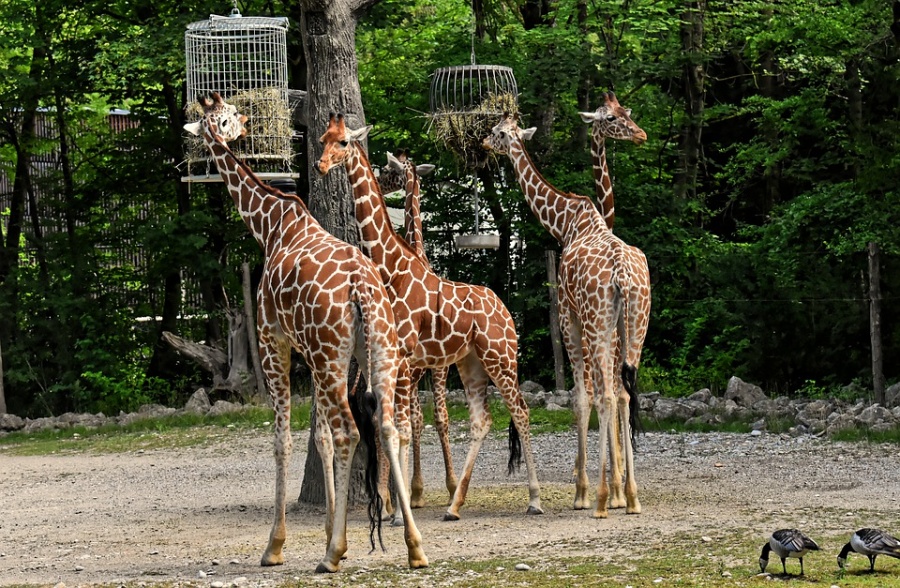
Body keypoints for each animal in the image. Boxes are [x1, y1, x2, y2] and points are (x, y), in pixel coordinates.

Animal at [181, 94, 428, 572]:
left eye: (222, 117)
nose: (244, 124)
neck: (270, 225)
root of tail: (363, 288)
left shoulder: (274, 340)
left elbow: (284, 439)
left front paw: (277, 546)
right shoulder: (311, 353)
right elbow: (321, 437)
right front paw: (331, 530)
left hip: (334, 355)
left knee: (353, 430)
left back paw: (333, 555)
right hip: (375, 351)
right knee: (387, 426)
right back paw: (415, 546)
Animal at [316, 113, 540, 520]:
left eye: (343, 142)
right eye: (323, 138)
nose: (320, 165)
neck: (392, 268)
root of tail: (505, 309)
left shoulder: (408, 361)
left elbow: (406, 427)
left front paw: (401, 505)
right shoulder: (397, 361)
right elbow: (396, 425)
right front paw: (396, 503)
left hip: (500, 358)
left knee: (520, 411)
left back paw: (533, 498)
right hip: (470, 362)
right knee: (482, 420)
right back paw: (453, 505)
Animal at [486, 112, 640, 516]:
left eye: (499, 132)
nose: (485, 143)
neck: (567, 221)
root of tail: (621, 273)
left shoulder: (569, 316)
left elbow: (581, 398)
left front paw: (584, 490)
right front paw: (612, 486)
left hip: (597, 325)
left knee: (606, 396)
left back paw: (602, 496)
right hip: (632, 326)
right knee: (623, 394)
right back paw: (629, 495)